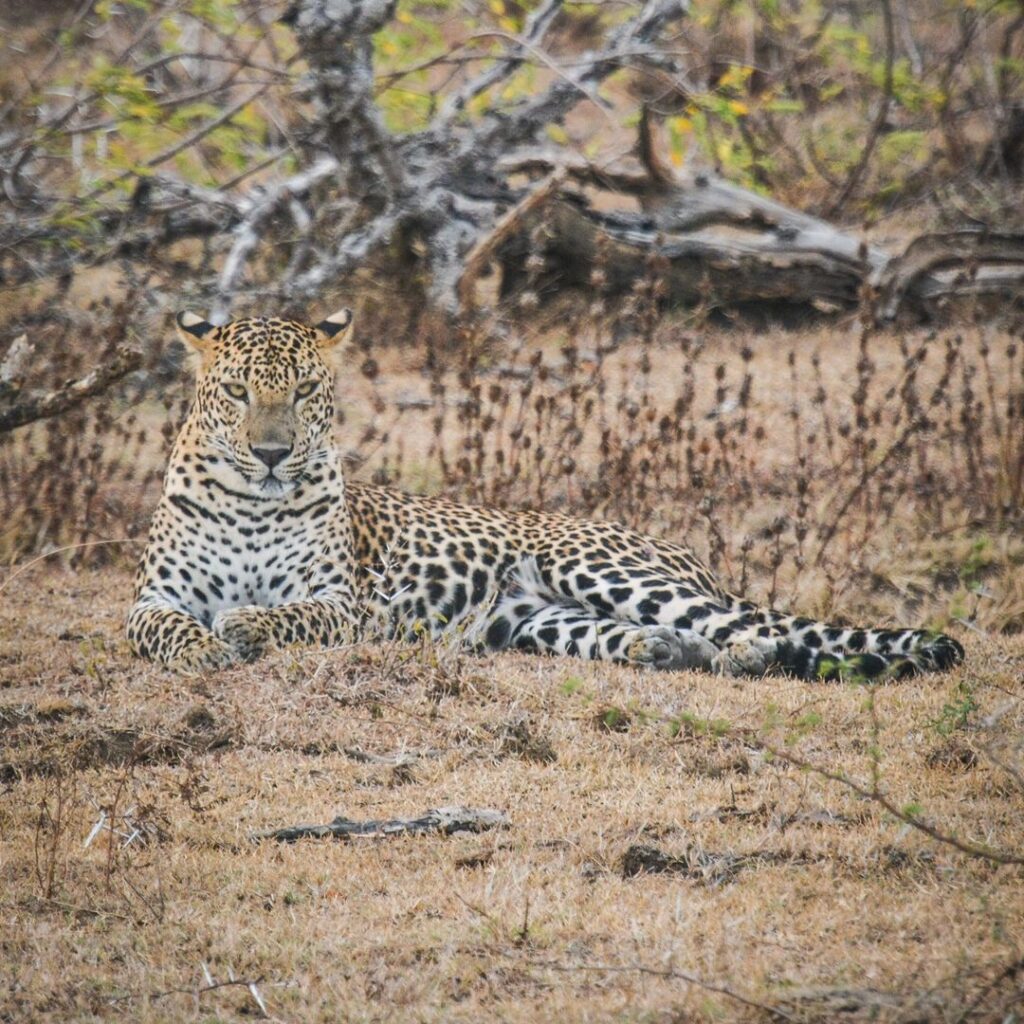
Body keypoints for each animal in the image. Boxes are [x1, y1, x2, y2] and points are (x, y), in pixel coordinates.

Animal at [123, 309, 962, 679]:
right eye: (237, 391)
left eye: (302, 392)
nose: (271, 454)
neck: (252, 505)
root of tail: (685, 555)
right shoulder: (149, 600)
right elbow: (166, 629)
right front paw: (202, 646)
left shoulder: (344, 603)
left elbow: (289, 614)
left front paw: (242, 626)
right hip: (535, 620)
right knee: (647, 635)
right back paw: (662, 650)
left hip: (599, 570)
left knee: (754, 631)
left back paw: (740, 652)